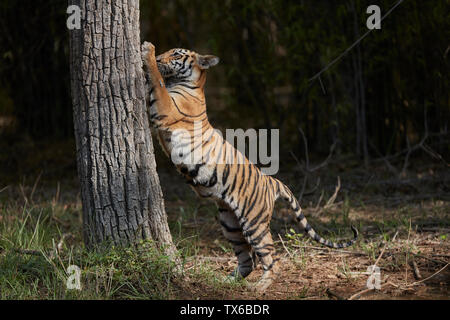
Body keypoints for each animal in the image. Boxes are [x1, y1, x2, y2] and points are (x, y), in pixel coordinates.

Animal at [141, 41, 358, 292]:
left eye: (175, 54)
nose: (160, 58)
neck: (188, 84)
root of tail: (271, 180)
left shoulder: (167, 109)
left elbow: (157, 83)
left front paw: (147, 51)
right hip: (230, 224)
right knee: (248, 260)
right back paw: (223, 281)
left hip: (254, 222)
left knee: (272, 257)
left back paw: (260, 287)